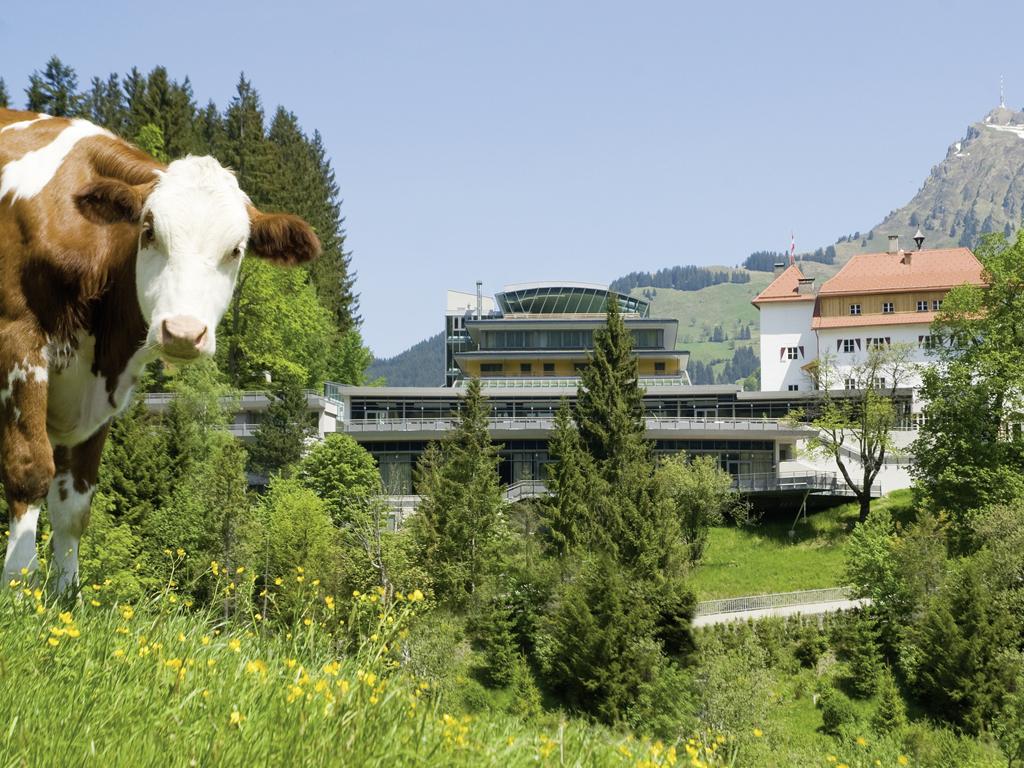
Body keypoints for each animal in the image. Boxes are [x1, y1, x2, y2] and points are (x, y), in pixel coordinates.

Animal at [0, 105, 319, 593]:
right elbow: (30, 470)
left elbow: (74, 507)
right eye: (148, 231)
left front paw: (67, 596)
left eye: (236, 249)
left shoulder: (99, 390)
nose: (184, 331)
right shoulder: (18, 342)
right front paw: (17, 589)